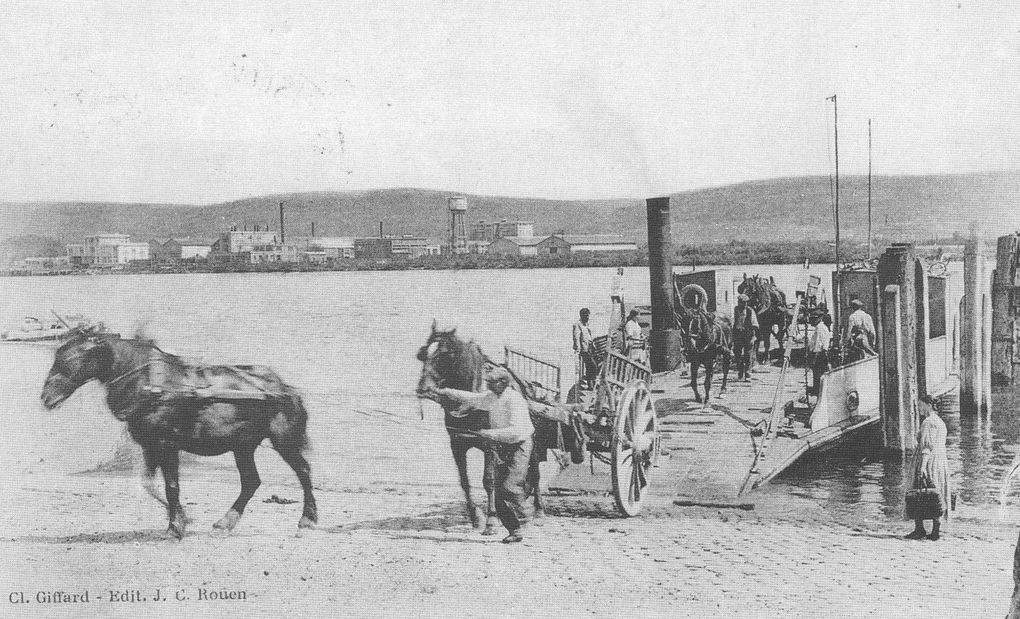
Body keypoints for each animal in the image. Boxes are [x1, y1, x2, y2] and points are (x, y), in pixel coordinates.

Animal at [39, 330, 316, 538]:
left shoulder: (167, 445)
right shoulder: (150, 446)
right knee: (251, 481)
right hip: (243, 446)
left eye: (71, 360)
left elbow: (171, 486)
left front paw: (175, 526)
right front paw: (183, 518)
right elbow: (149, 484)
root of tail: (284, 388)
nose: (46, 398)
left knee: (302, 471)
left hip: (283, 440)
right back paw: (225, 522)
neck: (149, 384)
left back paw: (307, 520)